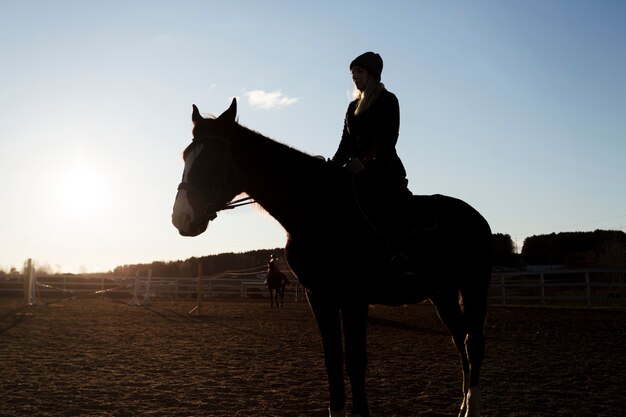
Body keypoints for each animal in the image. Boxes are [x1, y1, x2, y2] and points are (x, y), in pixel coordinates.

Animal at [172, 97, 492, 416]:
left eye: (213, 158)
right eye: (186, 156)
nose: (181, 219)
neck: (318, 210)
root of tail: (475, 216)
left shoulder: (354, 297)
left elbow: (355, 360)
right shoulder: (320, 296)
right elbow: (333, 359)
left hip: (474, 287)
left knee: (473, 343)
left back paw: (472, 407)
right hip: (442, 292)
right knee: (460, 339)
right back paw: (463, 405)